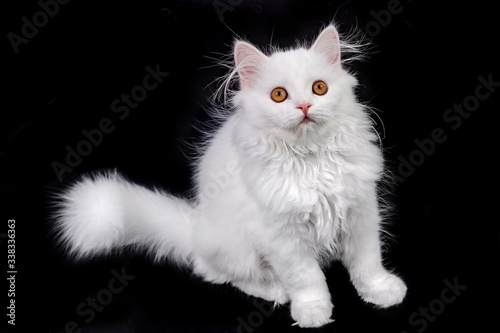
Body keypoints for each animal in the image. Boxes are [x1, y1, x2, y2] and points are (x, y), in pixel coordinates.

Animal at [53, 24, 406, 326]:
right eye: (279, 95)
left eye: (319, 88)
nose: (305, 106)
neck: (312, 161)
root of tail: (194, 229)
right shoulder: (284, 236)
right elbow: (306, 278)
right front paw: (312, 311)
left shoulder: (360, 214)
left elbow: (367, 263)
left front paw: (383, 291)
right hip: (237, 248)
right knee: (219, 274)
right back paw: (275, 289)